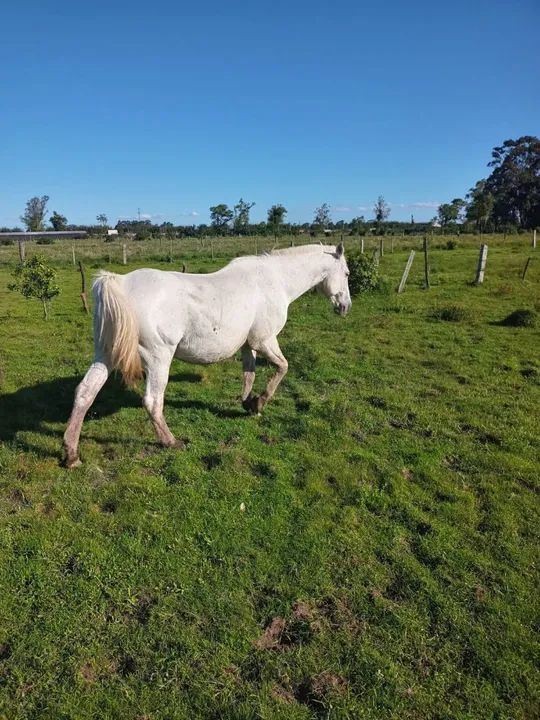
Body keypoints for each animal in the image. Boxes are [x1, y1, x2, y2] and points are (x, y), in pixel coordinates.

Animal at [63, 243, 352, 468]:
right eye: (347, 273)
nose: (345, 307)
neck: (274, 280)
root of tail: (120, 283)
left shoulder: (249, 345)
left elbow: (249, 374)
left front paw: (248, 403)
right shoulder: (265, 340)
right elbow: (282, 367)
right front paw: (260, 403)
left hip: (105, 355)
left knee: (85, 393)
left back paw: (71, 454)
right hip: (158, 359)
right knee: (152, 401)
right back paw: (171, 442)